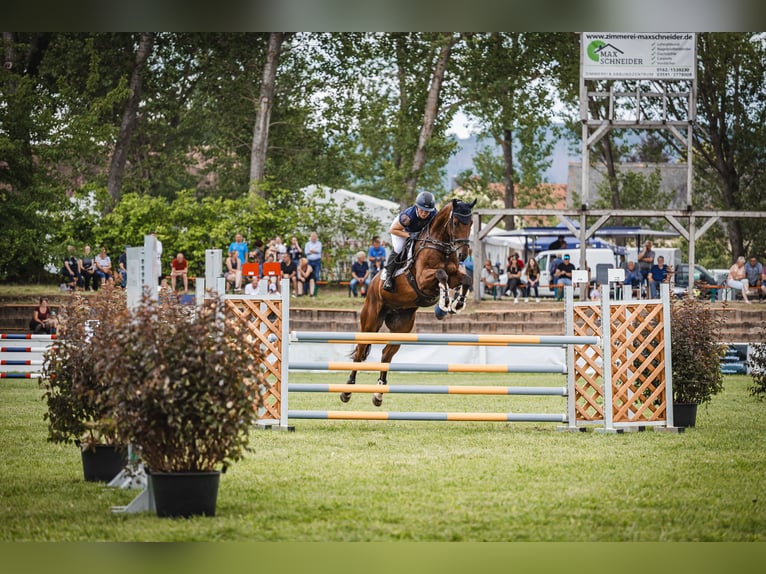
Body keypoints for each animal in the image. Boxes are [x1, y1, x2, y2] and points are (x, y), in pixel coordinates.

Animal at [341, 198, 477, 406]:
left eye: (470, 223)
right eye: (455, 223)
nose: (463, 254)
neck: (441, 245)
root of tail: (371, 285)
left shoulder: (455, 275)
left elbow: (466, 279)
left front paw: (456, 304)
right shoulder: (422, 279)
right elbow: (441, 274)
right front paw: (444, 303)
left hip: (402, 326)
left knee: (386, 354)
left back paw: (378, 393)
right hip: (370, 321)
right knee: (360, 352)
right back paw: (347, 390)